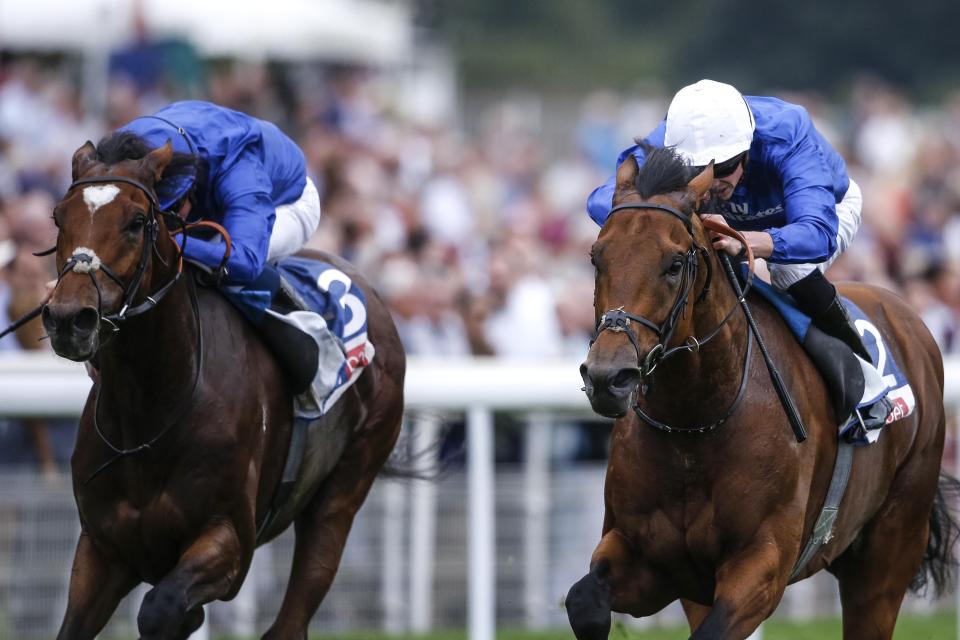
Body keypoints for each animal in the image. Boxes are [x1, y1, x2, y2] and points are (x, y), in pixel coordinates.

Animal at [43, 140, 404, 640]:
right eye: (59, 217)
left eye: (136, 221)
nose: (68, 318)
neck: (150, 411)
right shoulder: (100, 547)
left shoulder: (229, 539)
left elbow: (161, 608)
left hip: (344, 490)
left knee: (293, 612)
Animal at [568, 148, 956, 636]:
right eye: (596, 257)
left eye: (674, 264)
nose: (608, 377)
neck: (693, 425)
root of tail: (907, 315)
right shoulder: (649, 559)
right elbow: (583, 600)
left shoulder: (763, 564)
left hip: (889, 551)